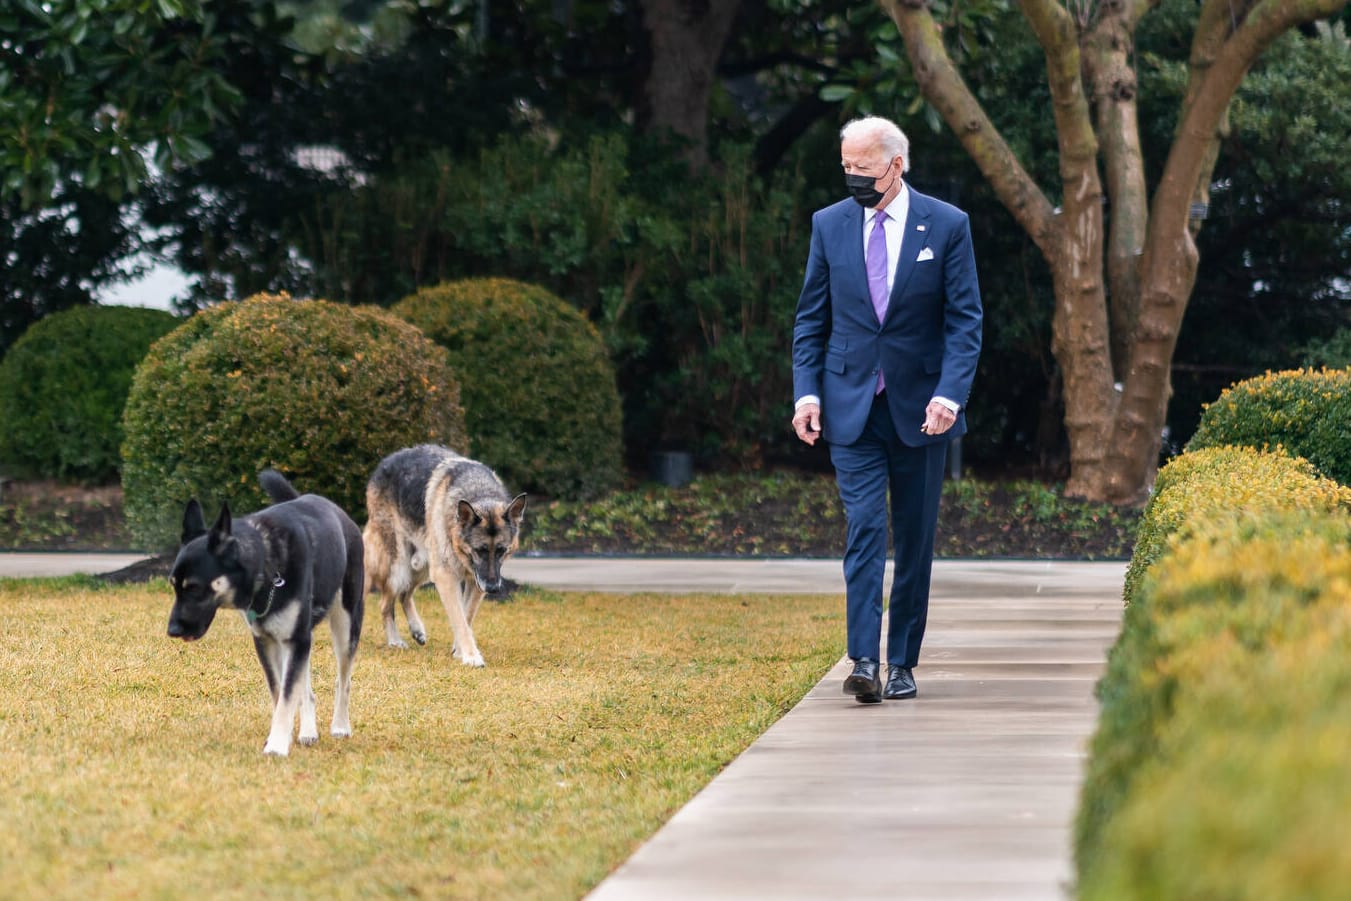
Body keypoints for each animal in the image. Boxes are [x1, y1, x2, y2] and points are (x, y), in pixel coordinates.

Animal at [166, 470, 367, 756]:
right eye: (173, 585)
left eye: (193, 587)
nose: (172, 631)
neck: (265, 563)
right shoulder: (269, 641)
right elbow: (280, 692)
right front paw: (281, 735)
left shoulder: (295, 640)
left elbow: (287, 695)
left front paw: (277, 745)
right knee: (306, 690)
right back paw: (308, 732)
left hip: (345, 623)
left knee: (343, 680)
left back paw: (340, 726)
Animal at [364, 445, 526, 667]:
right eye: (480, 550)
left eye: (502, 550)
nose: (493, 589)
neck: (478, 492)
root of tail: (385, 462)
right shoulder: (446, 577)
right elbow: (459, 618)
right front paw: (471, 655)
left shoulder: (475, 583)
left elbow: (466, 616)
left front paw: (459, 650)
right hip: (401, 566)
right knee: (385, 603)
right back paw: (395, 640)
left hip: (423, 566)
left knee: (405, 595)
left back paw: (417, 630)